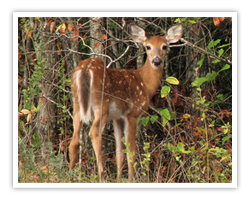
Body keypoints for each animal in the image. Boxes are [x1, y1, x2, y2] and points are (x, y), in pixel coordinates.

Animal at [69, 23, 183, 183]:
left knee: (74, 140)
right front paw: (130, 179)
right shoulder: (132, 113)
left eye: (164, 46)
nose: (157, 61)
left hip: (77, 104)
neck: (144, 84)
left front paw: (118, 179)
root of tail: (85, 68)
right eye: (148, 46)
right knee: (94, 133)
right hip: (101, 103)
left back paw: (69, 174)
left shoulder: (118, 117)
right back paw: (101, 175)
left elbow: (120, 152)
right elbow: (131, 151)